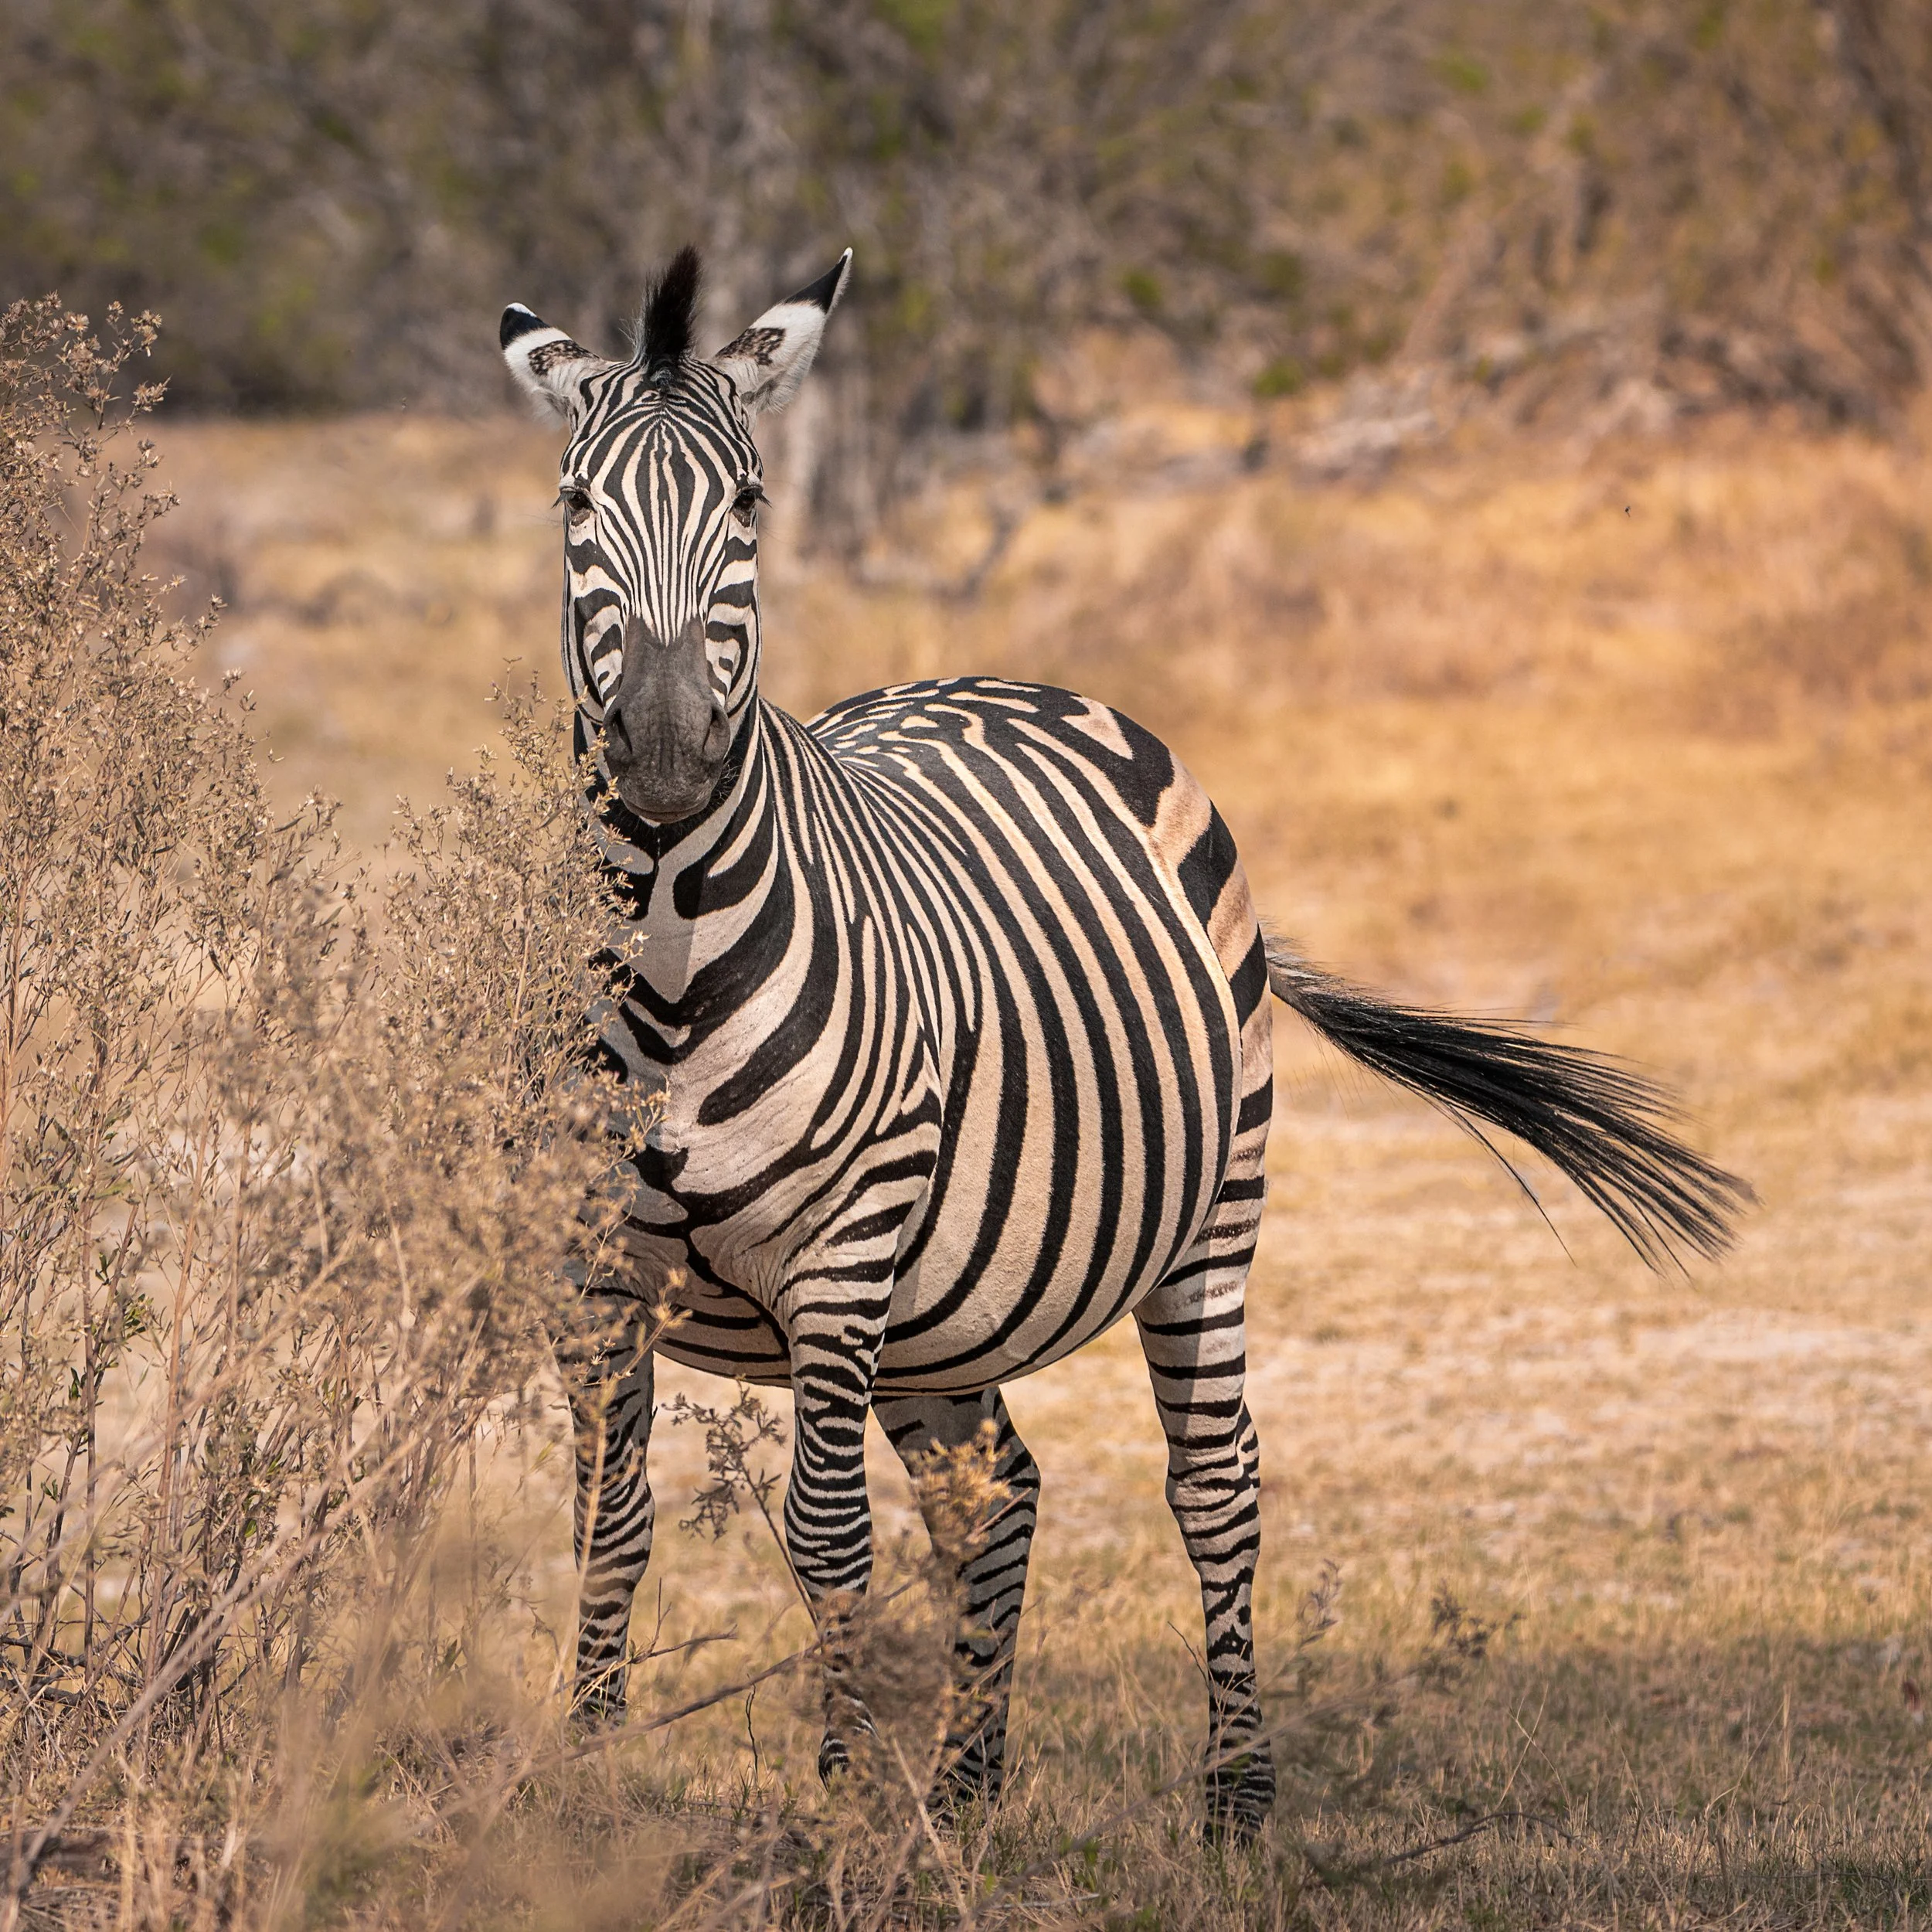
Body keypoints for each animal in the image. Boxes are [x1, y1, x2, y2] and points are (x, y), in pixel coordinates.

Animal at [500, 246, 1749, 1838]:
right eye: (572, 506)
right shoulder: (586, 1269)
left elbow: (825, 1535)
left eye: (752, 506)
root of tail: (1028, 683)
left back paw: (1233, 1799)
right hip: (943, 1299)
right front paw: (579, 1793)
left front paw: (840, 1813)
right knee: (997, 1494)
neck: (665, 943)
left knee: (1215, 1483)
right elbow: (610, 1521)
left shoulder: (841, 1258)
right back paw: (965, 1797)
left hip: (1212, 1210)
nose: (662, 760)